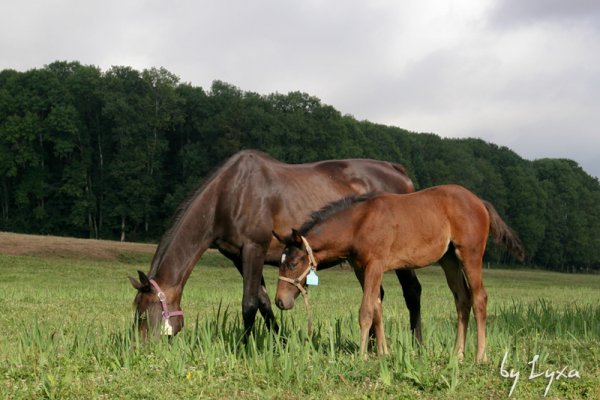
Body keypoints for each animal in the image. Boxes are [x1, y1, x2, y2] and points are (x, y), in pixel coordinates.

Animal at [129, 150, 424, 340]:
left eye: (144, 315)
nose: (139, 350)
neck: (230, 193)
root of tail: (399, 172)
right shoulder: (239, 257)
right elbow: (263, 302)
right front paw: (279, 343)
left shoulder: (254, 249)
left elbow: (249, 304)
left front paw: (244, 347)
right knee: (376, 296)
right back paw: (373, 345)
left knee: (412, 292)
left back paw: (416, 344)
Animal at [274, 184, 524, 362]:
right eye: (281, 262)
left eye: (294, 263)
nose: (280, 301)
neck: (359, 223)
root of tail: (479, 202)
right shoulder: (361, 270)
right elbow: (376, 307)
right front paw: (383, 353)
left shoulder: (375, 266)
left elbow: (366, 311)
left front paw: (362, 356)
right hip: (449, 259)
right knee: (462, 299)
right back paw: (457, 354)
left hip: (470, 255)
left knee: (479, 298)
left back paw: (480, 356)